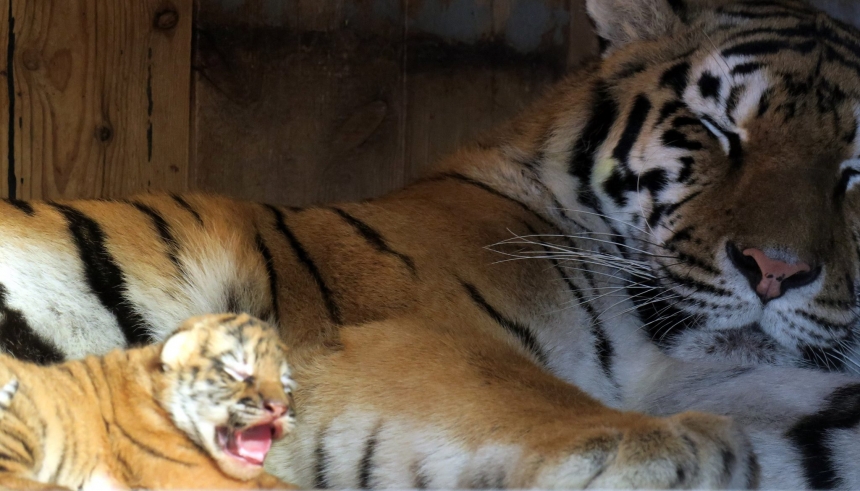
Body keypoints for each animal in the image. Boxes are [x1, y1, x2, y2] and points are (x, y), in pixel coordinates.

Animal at [5, 0, 860, 488]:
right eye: (718, 130)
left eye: (855, 170)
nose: (775, 271)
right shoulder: (407, 332)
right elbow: (518, 389)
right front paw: (677, 451)